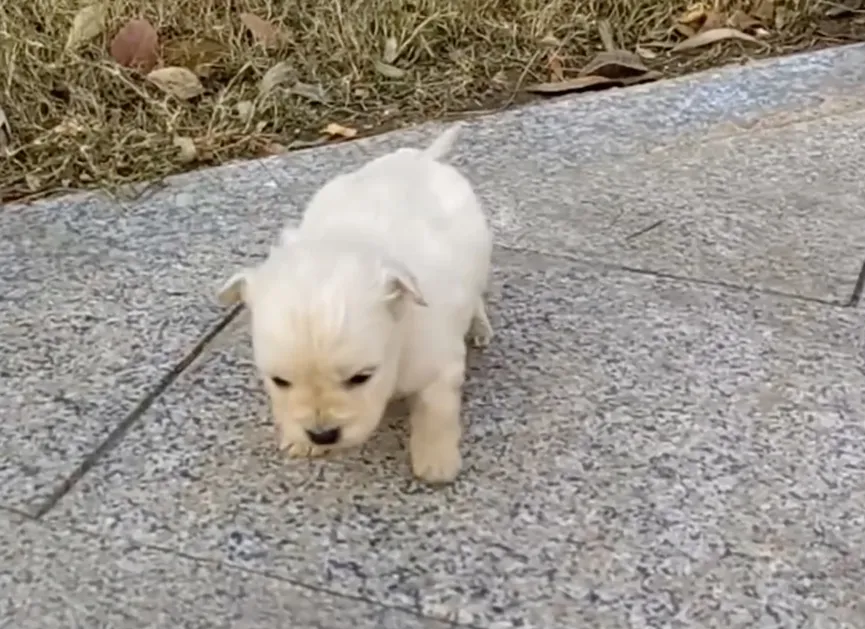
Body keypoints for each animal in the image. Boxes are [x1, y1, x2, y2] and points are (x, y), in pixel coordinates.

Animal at [216, 124, 492, 486]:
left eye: (361, 377)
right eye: (279, 381)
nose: (322, 435)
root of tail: (421, 158)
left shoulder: (439, 365)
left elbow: (436, 410)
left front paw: (436, 462)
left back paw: (480, 327)